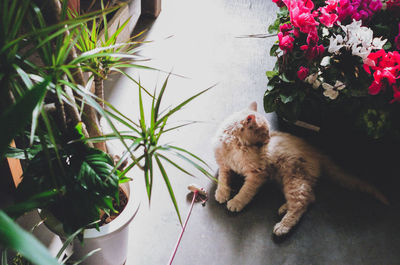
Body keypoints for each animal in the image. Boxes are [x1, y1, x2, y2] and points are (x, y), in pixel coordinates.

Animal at [214, 101, 390, 235]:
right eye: (264, 133)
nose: (270, 138)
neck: (236, 147)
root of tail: (317, 152)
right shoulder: (224, 164)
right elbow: (222, 178)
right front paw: (222, 193)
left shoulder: (257, 174)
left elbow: (246, 191)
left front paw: (236, 202)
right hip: (286, 179)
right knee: (309, 197)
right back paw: (284, 208)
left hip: (293, 177)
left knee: (301, 202)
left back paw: (283, 226)